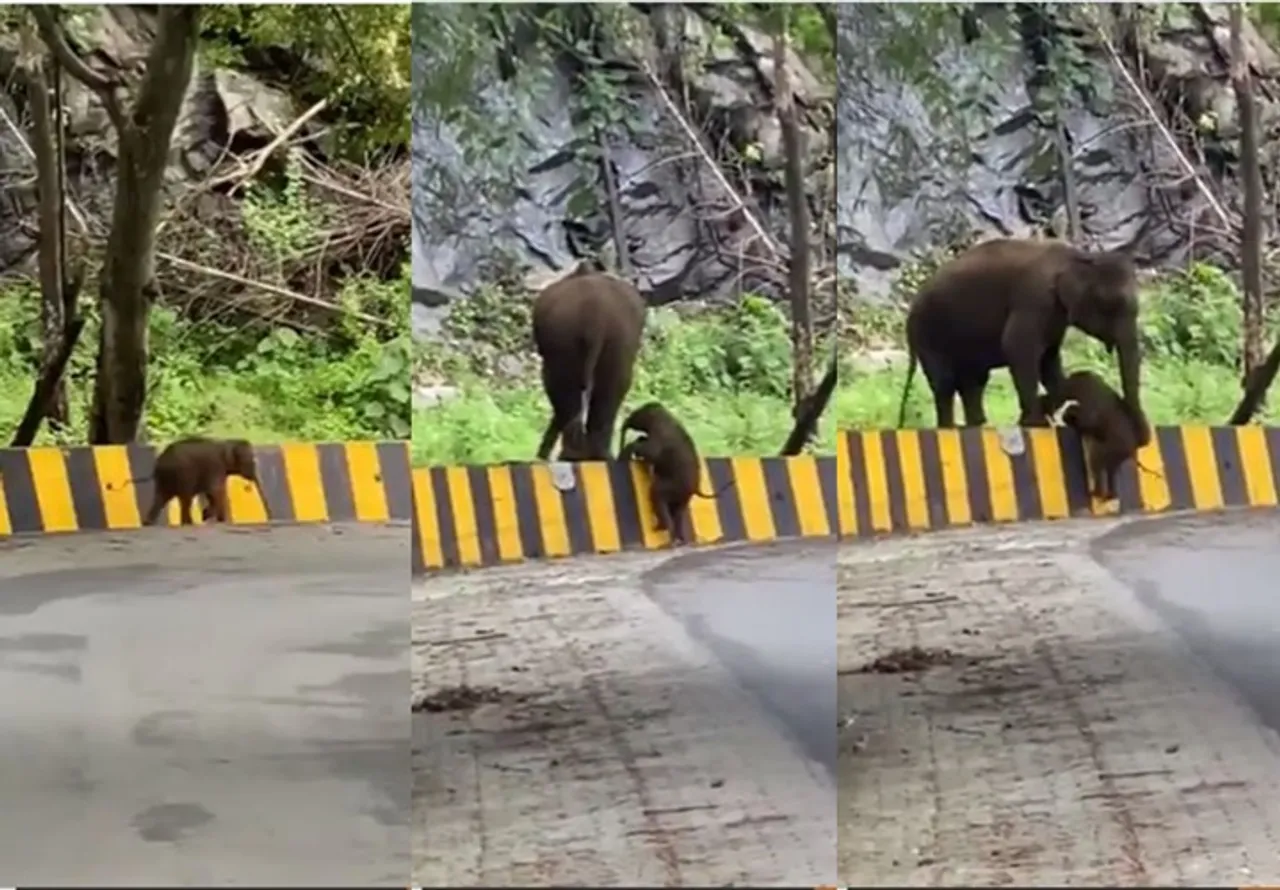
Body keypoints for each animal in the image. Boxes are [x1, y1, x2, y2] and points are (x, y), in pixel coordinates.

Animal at [619, 402, 732, 542]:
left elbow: (651, 452)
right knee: (678, 511)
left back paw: (662, 529)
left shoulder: (660, 433)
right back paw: (680, 539)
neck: (664, 414)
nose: (626, 422)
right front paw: (639, 442)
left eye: (636, 413)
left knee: (657, 494)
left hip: (674, 486)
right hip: (683, 496)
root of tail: (695, 488)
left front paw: (631, 450)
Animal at [896, 236, 1146, 432]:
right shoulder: (1034, 299)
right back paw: (950, 429)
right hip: (927, 334)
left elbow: (1049, 362)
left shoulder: (1054, 315)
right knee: (945, 383)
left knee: (973, 381)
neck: (1079, 257)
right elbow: (1018, 348)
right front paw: (1035, 423)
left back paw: (978, 426)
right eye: (1111, 305)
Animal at [1039, 371, 1152, 504]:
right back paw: (1110, 495)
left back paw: (1098, 492)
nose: (1053, 409)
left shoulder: (1086, 403)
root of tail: (1133, 445)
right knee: (1110, 472)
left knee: (1096, 461)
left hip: (1110, 449)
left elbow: (1086, 421)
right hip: (1116, 455)